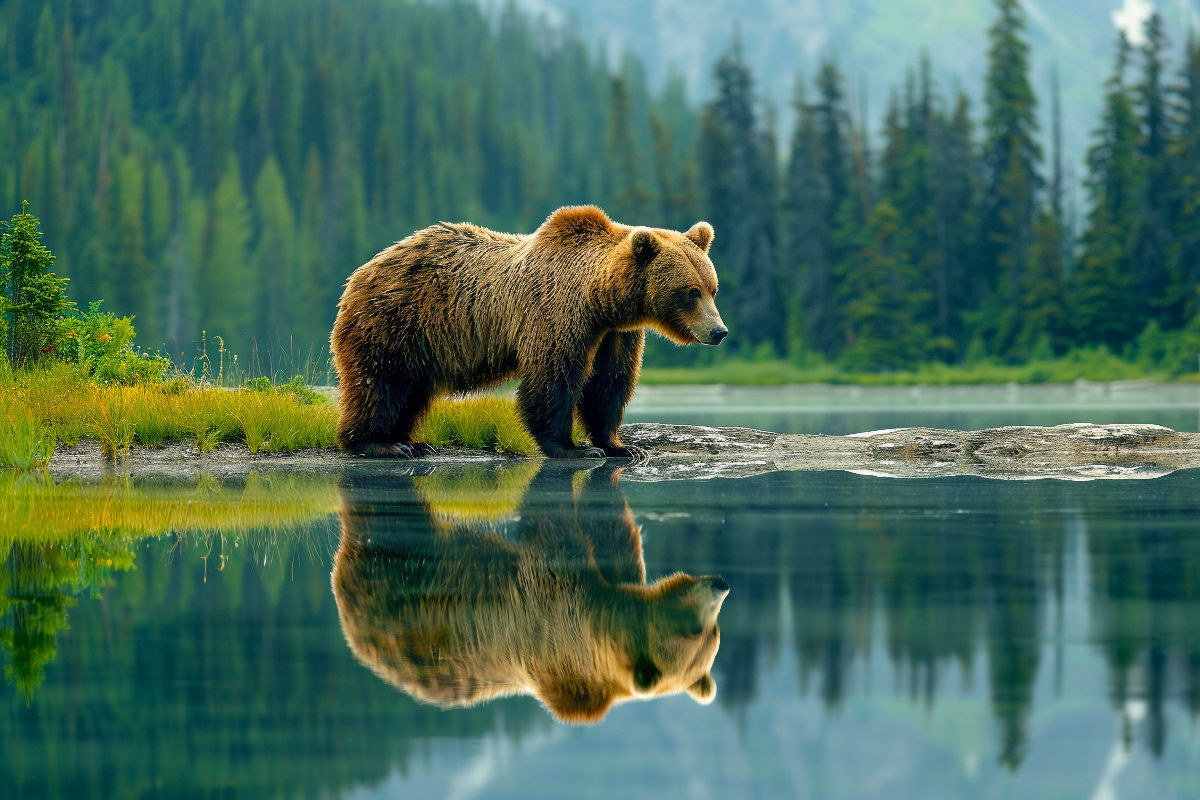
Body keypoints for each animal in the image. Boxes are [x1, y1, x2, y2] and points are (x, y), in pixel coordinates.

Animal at [326, 203, 729, 460]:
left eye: (712, 288)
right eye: (690, 291)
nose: (719, 331)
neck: (600, 299)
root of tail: (362, 271)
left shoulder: (616, 333)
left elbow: (608, 383)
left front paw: (619, 445)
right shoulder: (559, 313)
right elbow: (554, 377)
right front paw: (574, 448)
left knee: (411, 392)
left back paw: (412, 441)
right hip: (395, 320)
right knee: (382, 384)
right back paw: (379, 443)